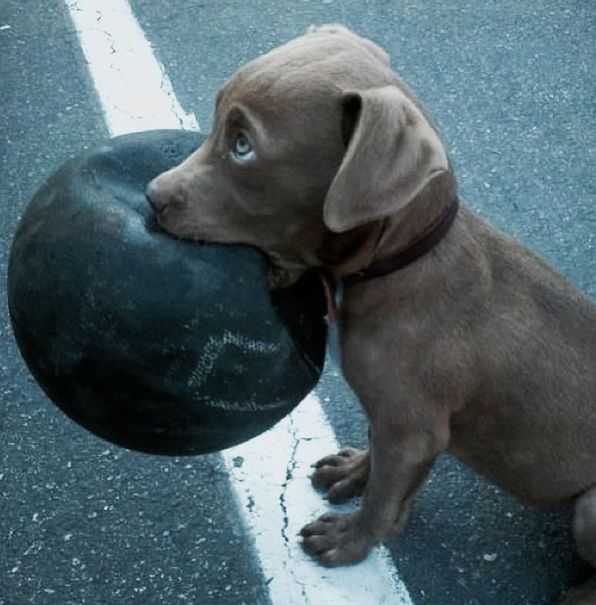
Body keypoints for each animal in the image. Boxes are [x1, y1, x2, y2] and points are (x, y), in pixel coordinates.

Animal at [147, 24, 596, 604]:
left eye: (243, 147)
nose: (151, 196)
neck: (403, 263)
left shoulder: (413, 430)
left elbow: (385, 498)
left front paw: (351, 539)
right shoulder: (400, 425)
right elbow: (381, 467)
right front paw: (352, 472)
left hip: (590, 509)